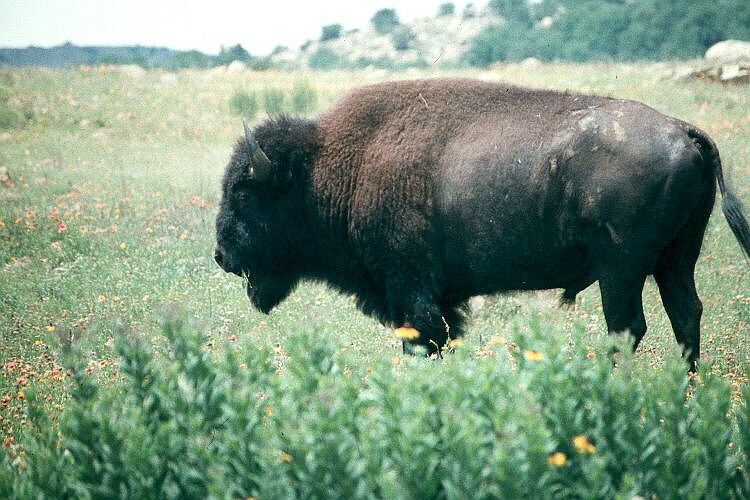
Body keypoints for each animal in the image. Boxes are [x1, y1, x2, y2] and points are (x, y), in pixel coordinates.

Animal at [214, 77, 748, 368]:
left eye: (242, 191)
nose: (221, 255)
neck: (337, 164)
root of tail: (685, 131)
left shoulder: (412, 291)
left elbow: (425, 340)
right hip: (675, 260)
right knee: (685, 314)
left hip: (621, 269)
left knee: (628, 327)